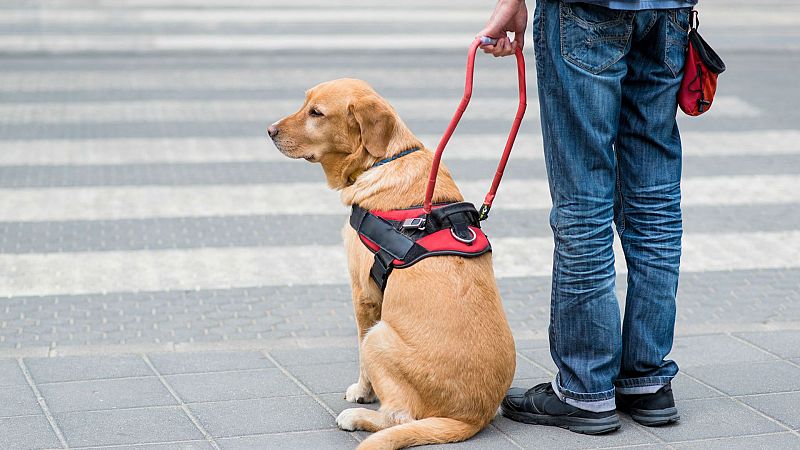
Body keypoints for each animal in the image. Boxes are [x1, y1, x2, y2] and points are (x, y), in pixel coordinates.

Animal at [268, 79, 516, 448]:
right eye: (305, 103)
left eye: (317, 113)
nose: (269, 130)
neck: (382, 160)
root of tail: (471, 418)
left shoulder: (364, 294)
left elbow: (360, 359)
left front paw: (362, 392)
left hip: (379, 337)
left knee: (399, 417)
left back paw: (358, 417)